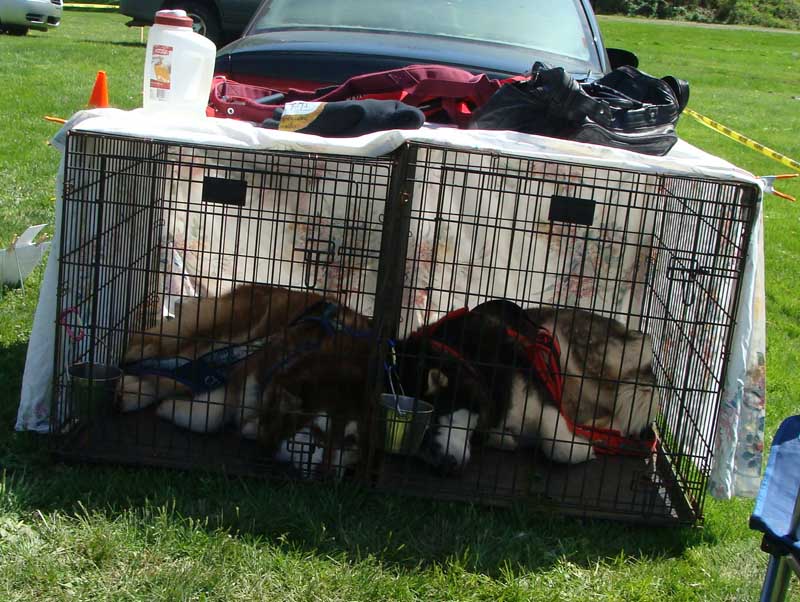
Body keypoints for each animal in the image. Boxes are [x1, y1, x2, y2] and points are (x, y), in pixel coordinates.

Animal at [116, 282, 372, 478]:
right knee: (162, 352)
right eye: (317, 432)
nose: (326, 475)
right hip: (228, 331)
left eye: (350, 441)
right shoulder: (247, 369)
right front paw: (169, 406)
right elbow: (210, 415)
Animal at [392, 300, 656, 468]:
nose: (445, 464)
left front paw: (582, 449)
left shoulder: (539, 392)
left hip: (577, 358)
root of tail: (635, 333)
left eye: (437, 417)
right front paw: (503, 438)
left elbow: (560, 446)